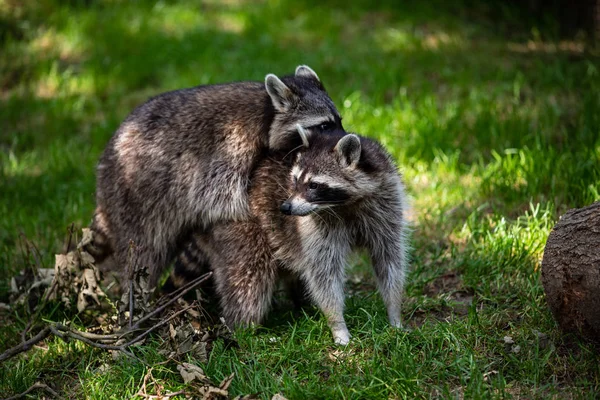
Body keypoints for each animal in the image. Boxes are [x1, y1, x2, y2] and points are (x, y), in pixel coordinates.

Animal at [86, 65, 344, 288]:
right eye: (324, 125)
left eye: (338, 120)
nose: (347, 138)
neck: (267, 110)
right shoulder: (229, 146)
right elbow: (222, 200)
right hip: (135, 199)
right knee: (145, 252)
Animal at [190, 126, 410, 344]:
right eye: (295, 179)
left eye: (314, 185)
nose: (285, 208)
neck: (343, 204)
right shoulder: (317, 226)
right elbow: (324, 274)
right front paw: (337, 323)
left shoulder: (385, 203)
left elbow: (389, 259)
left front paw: (394, 312)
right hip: (240, 225)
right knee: (250, 279)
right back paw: (245, 331)